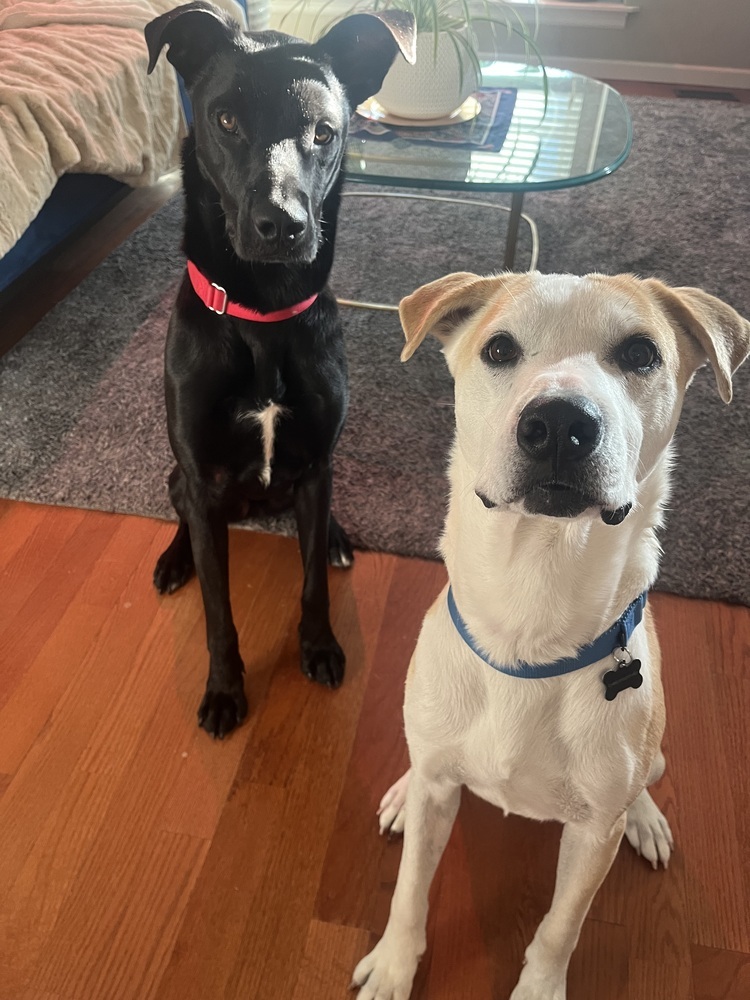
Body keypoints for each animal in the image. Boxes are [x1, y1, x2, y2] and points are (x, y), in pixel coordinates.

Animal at [145, 0, 418, 736]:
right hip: (182, 477)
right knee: (184, 515)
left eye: (325, 132)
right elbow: (219, 610)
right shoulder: (203, 475)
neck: (263, 317)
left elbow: (313, 584)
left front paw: (319, 647)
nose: (283, 226)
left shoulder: (317, 463)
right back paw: (174, 559)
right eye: (225, 120)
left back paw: (336, 538)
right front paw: (224, 689)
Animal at [354, 272, 750, 1000]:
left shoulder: (592, 835)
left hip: (647, 758)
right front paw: (394, 967)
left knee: (645, 782)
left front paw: (539, 988)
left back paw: (646, 818)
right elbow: (409, 890)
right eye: (499, 348)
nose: (561, 425)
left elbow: (559, 928)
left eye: (641, 353)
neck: (530, 618)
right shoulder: (438, 794)